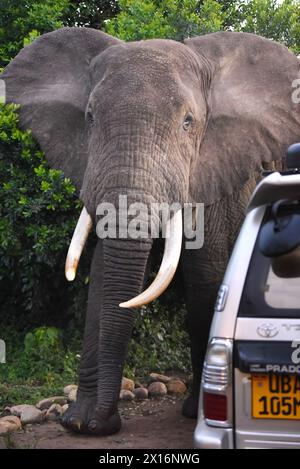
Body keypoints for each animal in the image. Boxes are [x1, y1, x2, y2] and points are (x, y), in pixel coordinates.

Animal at [1, 26, 298, 436]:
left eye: (188, 121)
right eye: (89, 117)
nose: (103, 424)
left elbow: (205, 272)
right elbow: (105, 268)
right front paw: (81, 423)